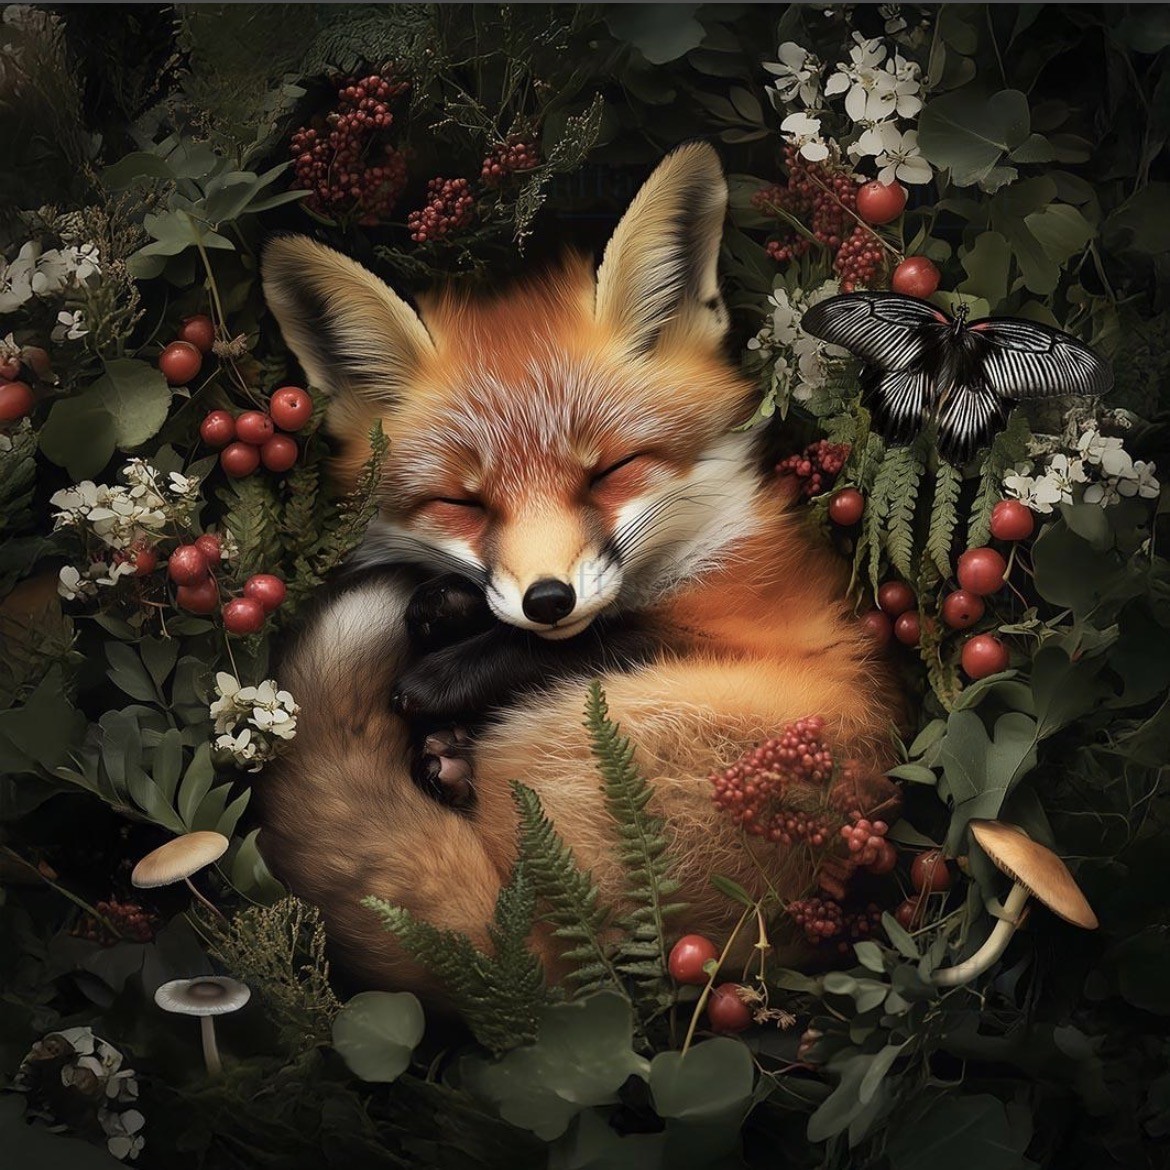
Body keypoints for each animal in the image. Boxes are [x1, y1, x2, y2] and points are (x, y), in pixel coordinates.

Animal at [257, 142, 902, 994]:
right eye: (463, 503)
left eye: (610, 473)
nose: (547, 599)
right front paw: (451, 611)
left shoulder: (750, 625)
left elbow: (608, 632)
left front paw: (448, 668)